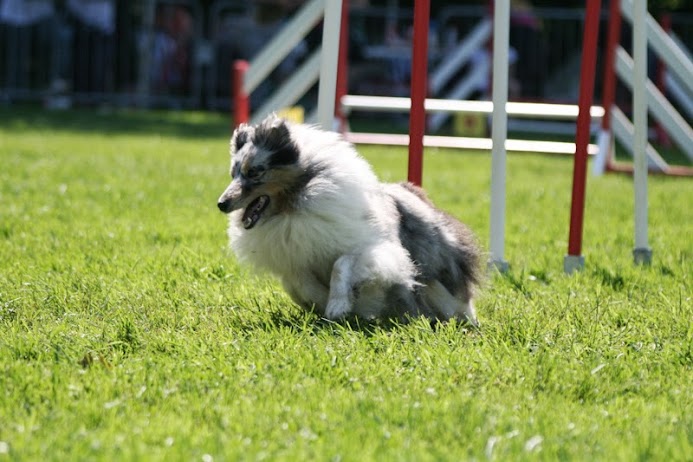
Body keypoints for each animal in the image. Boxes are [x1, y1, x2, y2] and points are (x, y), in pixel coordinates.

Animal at [216, 113, 482, 324]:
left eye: (254, 172)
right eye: (233, 174)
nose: (221, 204)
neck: (293, 208)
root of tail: (415, 192)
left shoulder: (374, 249)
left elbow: (340, 265)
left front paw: (337, 306)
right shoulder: (296, 260)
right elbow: (298, 284)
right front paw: (324, 304)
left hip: (436, 271)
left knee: (457, 299)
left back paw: (467, 323)